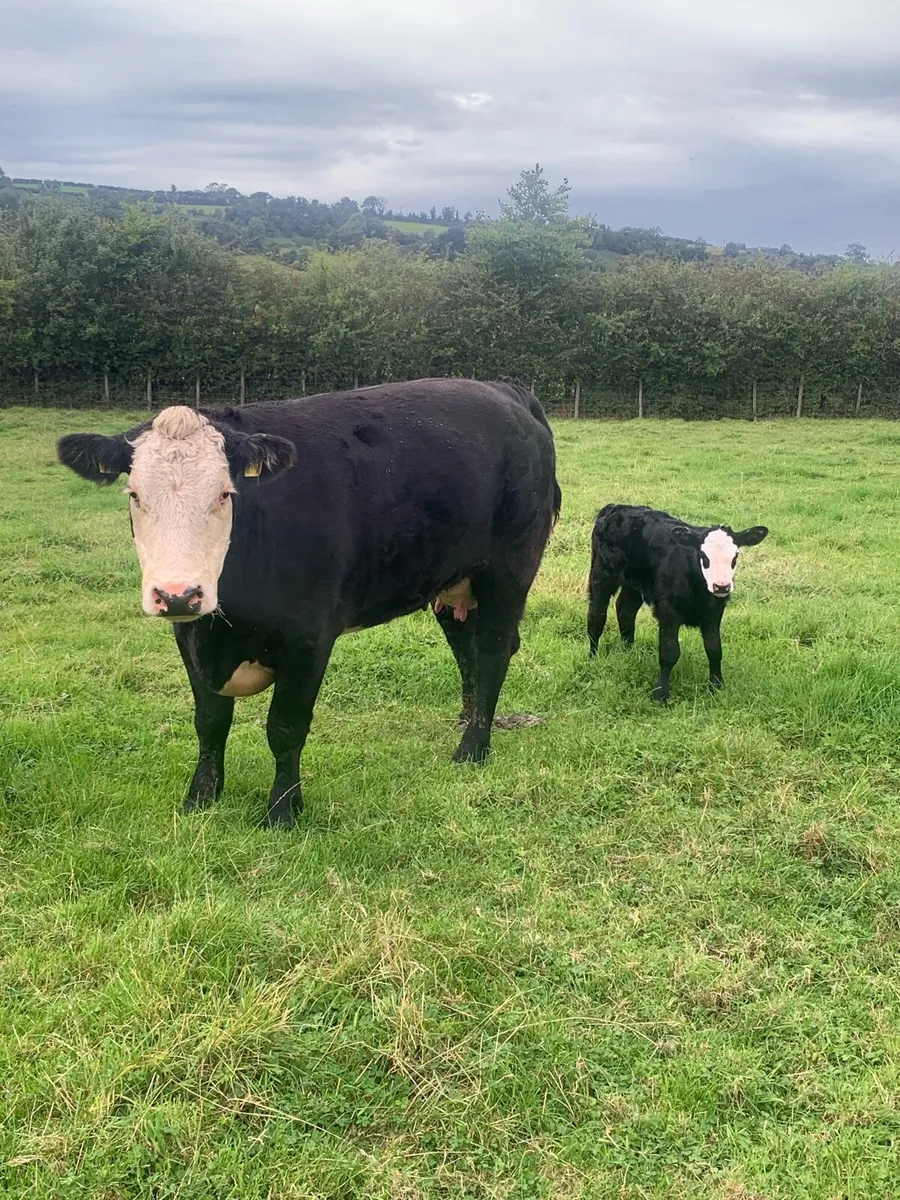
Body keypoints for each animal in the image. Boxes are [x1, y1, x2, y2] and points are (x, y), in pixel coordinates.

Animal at [57, 378, 561, 826]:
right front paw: (201, 797)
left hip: (508, 567)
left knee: (493, 649)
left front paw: (282, 810)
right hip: (452, 579)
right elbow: (210, 721)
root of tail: (505, 389)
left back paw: (473, 748)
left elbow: (285, 728)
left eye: (224, 494)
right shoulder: (191, 634)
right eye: (135, 495)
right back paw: (469, 723)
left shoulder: (309, 638)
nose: (177, 593)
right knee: (466, 649)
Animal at [587, 504, 768, 703]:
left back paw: (629, 652)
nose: (721, 586)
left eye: (735, 556)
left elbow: (714, 649)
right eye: (703, 556)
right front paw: (661, 694)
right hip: (602, 572)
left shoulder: (714, 612)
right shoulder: (668, 611)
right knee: (597, 616)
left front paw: (716, 687)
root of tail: (617, 507)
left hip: (634, 583)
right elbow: (669, 652)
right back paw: (593, 657)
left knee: (625, 611)